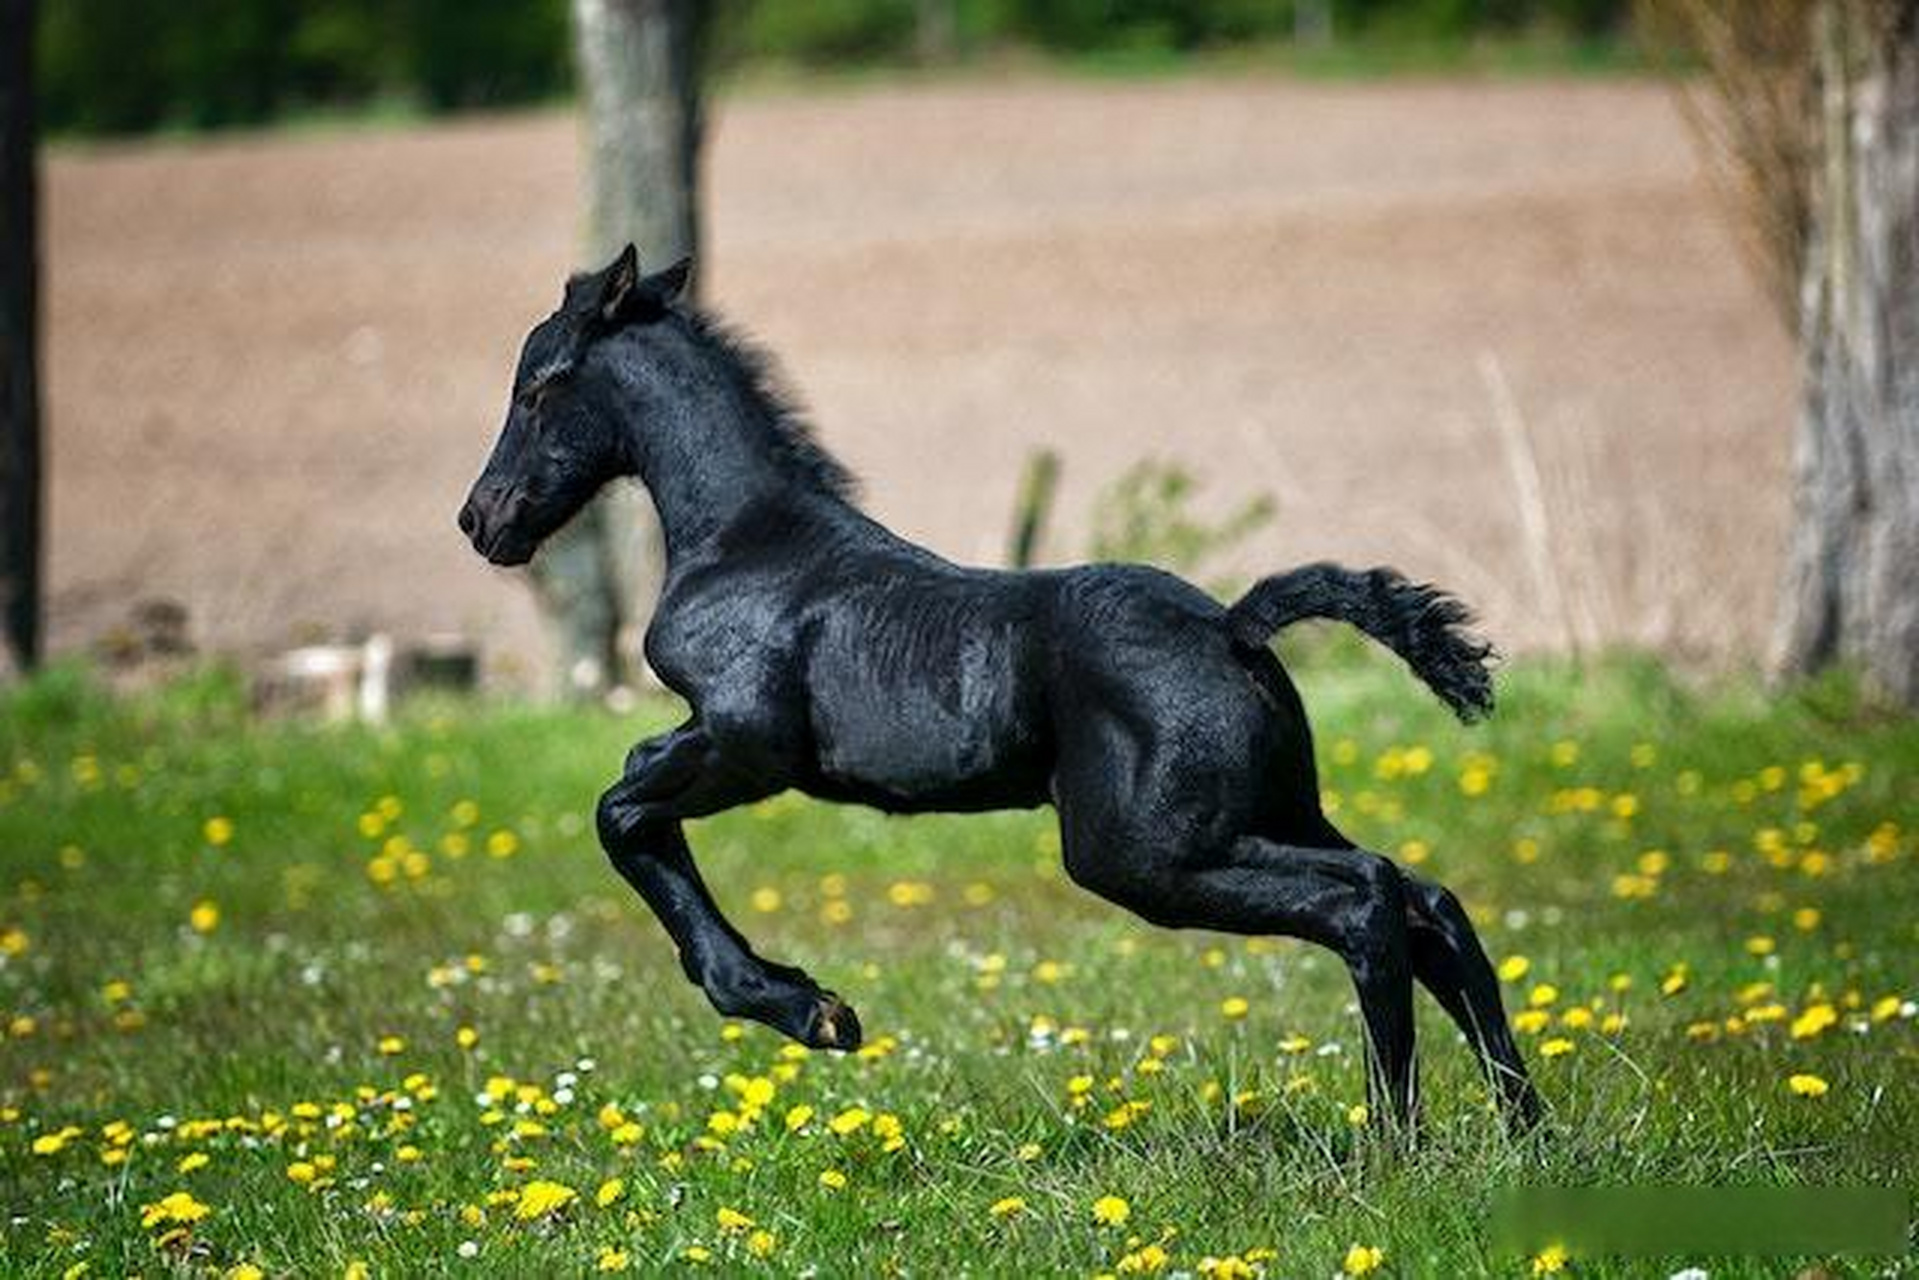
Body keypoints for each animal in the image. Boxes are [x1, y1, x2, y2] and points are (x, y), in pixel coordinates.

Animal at [458, 245, 1541, 1131]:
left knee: (1366, 900)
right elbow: (633, 803)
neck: (748, 541)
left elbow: (621, 809)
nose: (481, 520)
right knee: (1426, 898)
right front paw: (805, 1002)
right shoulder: (719, 743)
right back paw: (1522, 1129)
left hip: (1145, 852)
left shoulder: (745, 743)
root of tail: (1232, 625)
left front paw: (809, 1009)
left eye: (537, 386)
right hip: (1263, 813)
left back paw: (1392, 1139)